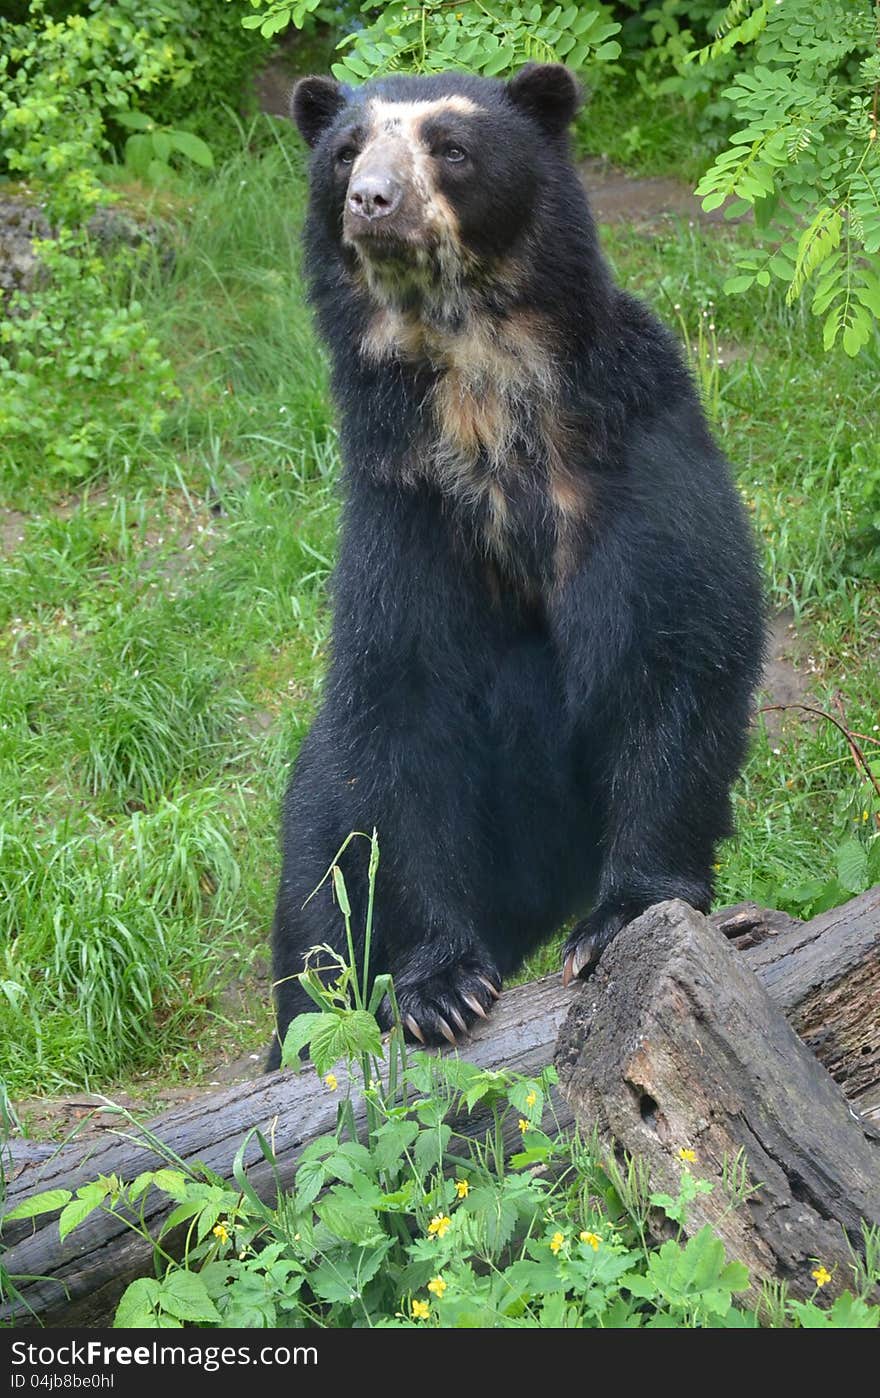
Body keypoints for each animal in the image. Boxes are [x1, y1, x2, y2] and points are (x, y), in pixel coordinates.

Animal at [265, 62, 761, 1068]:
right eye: (345, 152)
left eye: (451, 149)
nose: (371, 201)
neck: (476, 376)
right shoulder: (402, 499)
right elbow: (404, 700)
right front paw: (440, 987)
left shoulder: (633, 440)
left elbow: (676, 638)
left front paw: (619, 918)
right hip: (314, 819)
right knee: (321, 913)